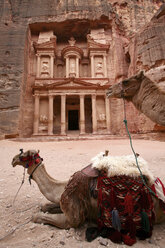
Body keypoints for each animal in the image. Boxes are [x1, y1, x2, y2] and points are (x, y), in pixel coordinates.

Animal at [11, 149, 165, 244]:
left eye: (23, 156)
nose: (12, 160)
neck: (63, 186)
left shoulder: (73, 218)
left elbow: (37, 217)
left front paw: (37, 216)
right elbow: (45, 206)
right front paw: (46, 207)